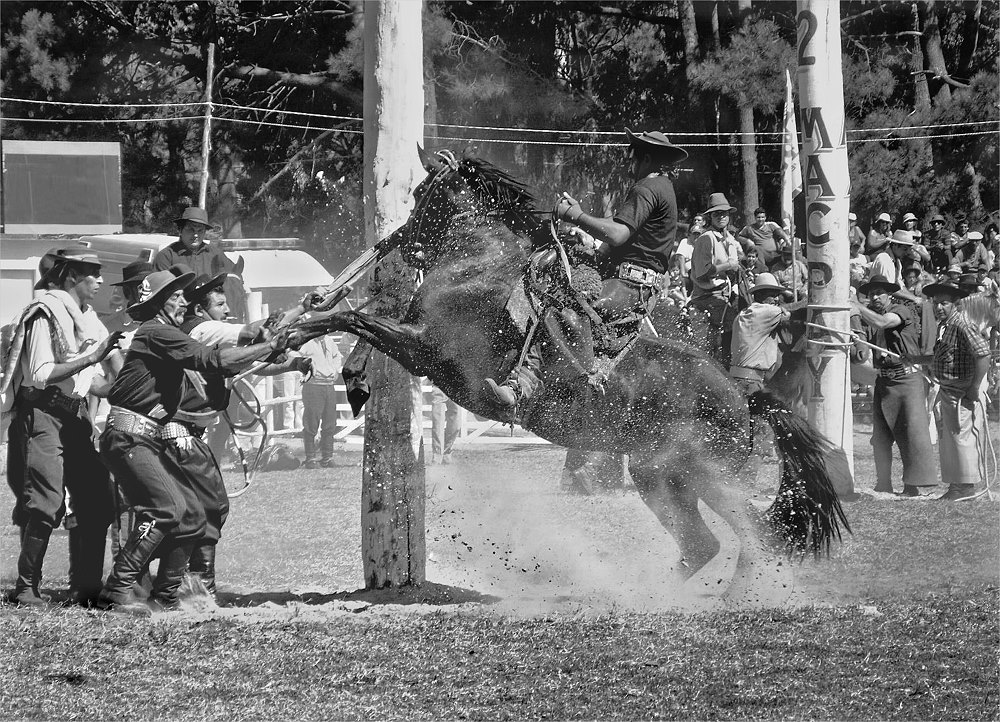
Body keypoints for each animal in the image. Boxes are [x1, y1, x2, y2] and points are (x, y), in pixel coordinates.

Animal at [298, 152, 852, 608]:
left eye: (421, 194)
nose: (400, 244)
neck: (480, 263)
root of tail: (744, 398)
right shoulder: (417, 341)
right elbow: (370, 320)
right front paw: (352, 378)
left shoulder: (429, 349)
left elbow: (355, 317)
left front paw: (297, 331)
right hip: (660, 478)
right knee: (706, 543)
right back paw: (644, 593)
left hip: (700, 476)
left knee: (753, 533)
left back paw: (721, 595)